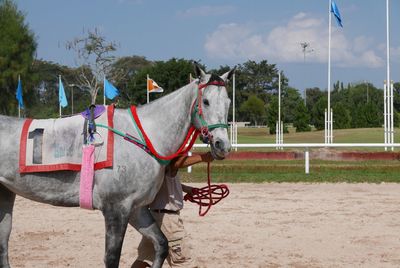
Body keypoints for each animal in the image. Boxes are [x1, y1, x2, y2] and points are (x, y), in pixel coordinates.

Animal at [0, 65, 234, 268]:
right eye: (206, 101)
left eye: (228, 102)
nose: (222, 145)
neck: (142, 137)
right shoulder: (116, 209)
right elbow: (112, 258)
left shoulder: (137, 208)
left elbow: (161, 244)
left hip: (5, 193)